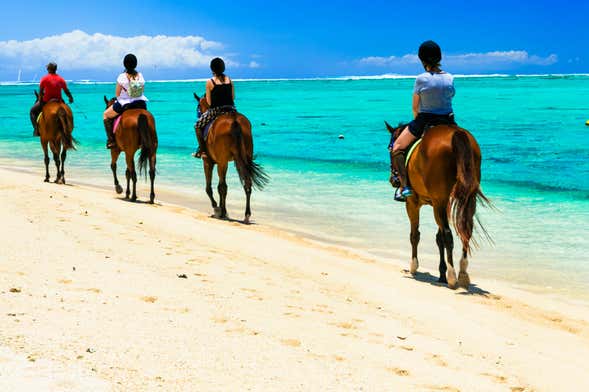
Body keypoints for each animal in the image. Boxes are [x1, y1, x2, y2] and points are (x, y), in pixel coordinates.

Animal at [194, 92, 268, 224]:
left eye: (198, 107)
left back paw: (223, 212)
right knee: (247, 184)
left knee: (223, 187)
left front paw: (217, 208)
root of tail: (234, 120)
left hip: (222, 162)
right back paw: (246, 215)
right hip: (243, 157)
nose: (199, 114)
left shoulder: (208, 162)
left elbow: (209, 188)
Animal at [386, 121, 486, 290]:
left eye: (389, 149)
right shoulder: (440, 204)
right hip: (465, 199)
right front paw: (441, 274)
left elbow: (415, 235)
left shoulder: (413, 204)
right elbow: (439, 239)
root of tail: (457, 134)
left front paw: (414, 266)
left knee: (448, 235)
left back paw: (452, 276)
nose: (393, 180)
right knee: (465, 230)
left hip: (438, 202)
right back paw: (462, 273)